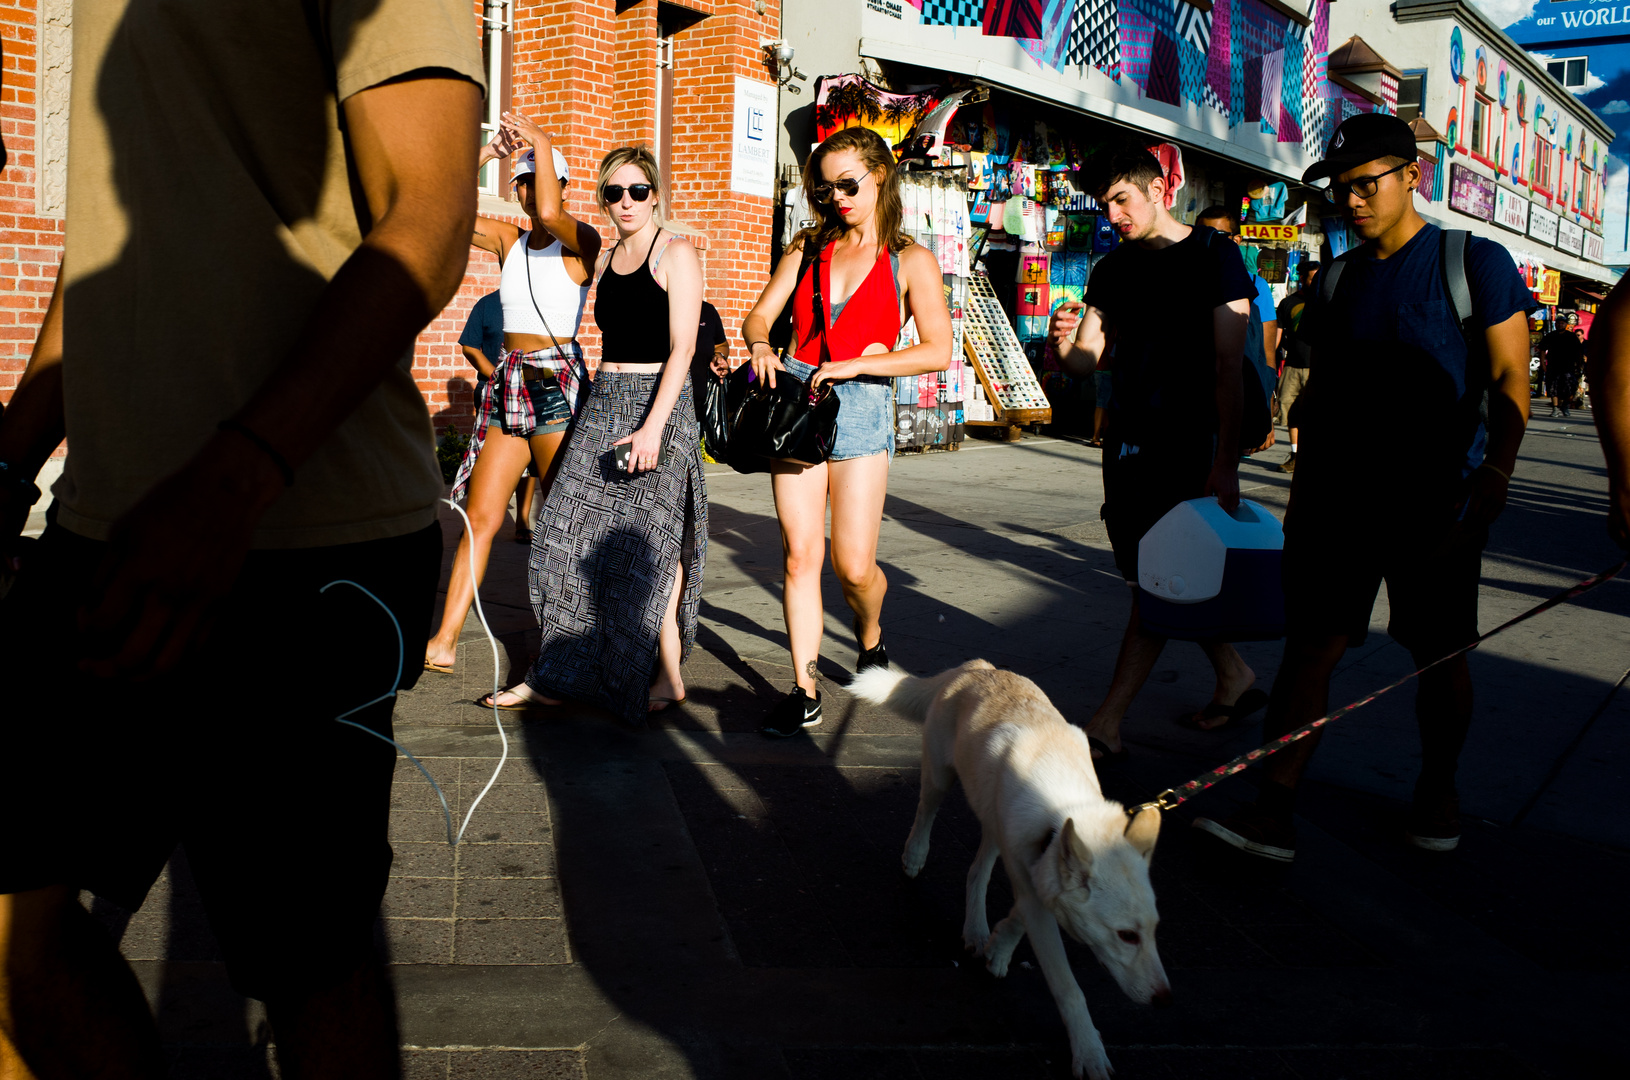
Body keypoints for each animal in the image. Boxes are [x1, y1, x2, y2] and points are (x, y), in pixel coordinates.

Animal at [854, 658, 1173, 1080]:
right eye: (1126, 936)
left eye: (1154, 930)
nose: (1165, 1001)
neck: (1063, 808)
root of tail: (976, 667)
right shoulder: (1032, 882)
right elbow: (1068, 988)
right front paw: (1088, 1050)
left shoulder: (1035, 869)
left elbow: (1023, 911)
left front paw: (999, 947)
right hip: (940, 778)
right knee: (926, 812)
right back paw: (916, 855)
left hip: (992, 818)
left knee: (978, 871)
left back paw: (976, 929)